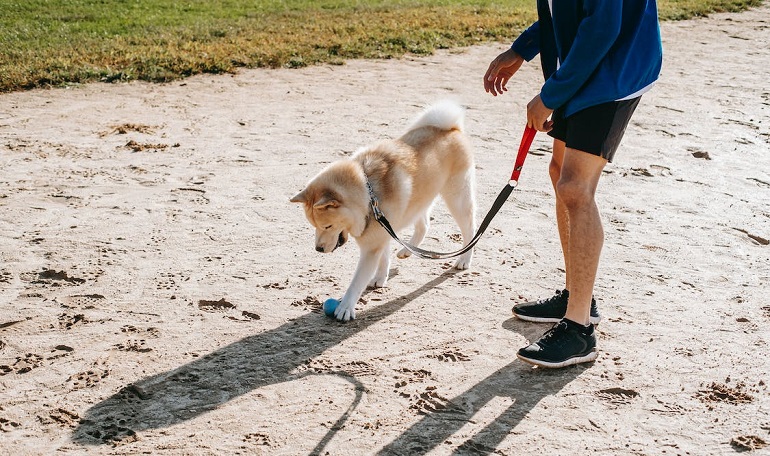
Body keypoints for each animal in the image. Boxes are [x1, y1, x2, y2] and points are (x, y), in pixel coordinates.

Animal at [290, 100, 474, 320]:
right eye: (314, 226)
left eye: (327, 226)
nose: (318, 249)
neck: (369, 194)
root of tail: (452, 128)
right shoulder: (384, 229)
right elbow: (384, 257)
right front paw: (380, 278)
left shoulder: (372, 246)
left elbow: (357, 281)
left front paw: (346, 307)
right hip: (419, 202)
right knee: (424, 225)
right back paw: (407, 250)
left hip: (457, 199)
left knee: (470, 230)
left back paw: (464, 259)